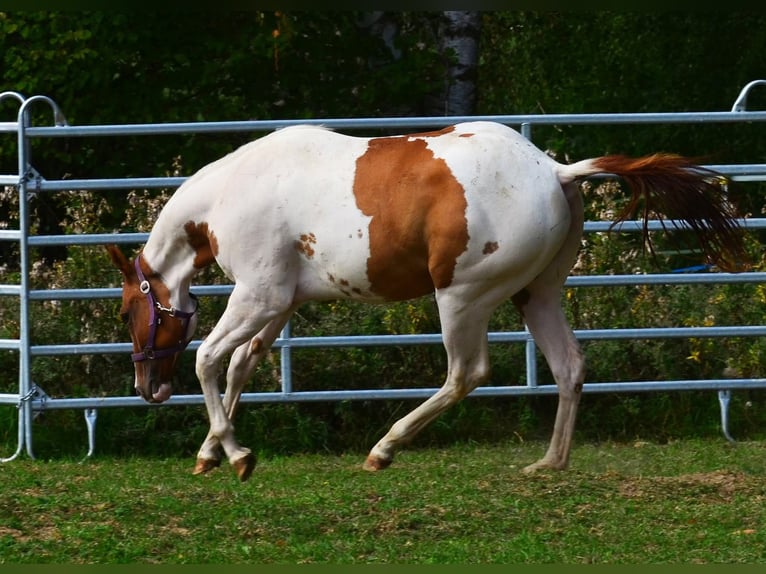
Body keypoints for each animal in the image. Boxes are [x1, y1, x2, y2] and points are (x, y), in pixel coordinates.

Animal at [106, 121, 747, 482]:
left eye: (126, 311)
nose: (145, 388)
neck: (230, 195)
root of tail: (555, 171)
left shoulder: (259, 297)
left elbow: (208, 360)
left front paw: (237, 456)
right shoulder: (279, 304)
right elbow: (240, 366)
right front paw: (212, 453)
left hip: (462, 298)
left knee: (466, 372)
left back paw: (384, 449)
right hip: (536, 295)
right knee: (569, 367)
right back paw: (550, 463)